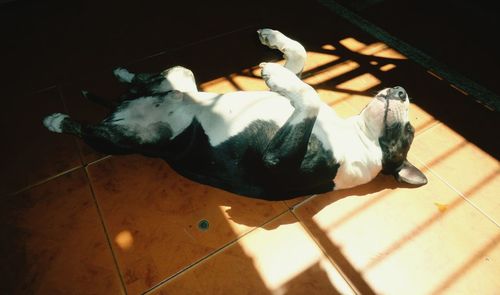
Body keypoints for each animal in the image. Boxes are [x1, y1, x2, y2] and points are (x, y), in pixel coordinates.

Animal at [44, 28, 426, 201]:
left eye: (408, 130)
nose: (401, 90)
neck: (355, 136)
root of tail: (116, 110)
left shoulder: (277, 159)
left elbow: (311, 96)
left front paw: (274, 72)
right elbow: (300, 61)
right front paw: (274, 46)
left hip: (128, 138)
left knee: (90, 130)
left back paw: (57, 120)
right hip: (179, 75)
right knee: (151, 82)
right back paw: (124, 74)